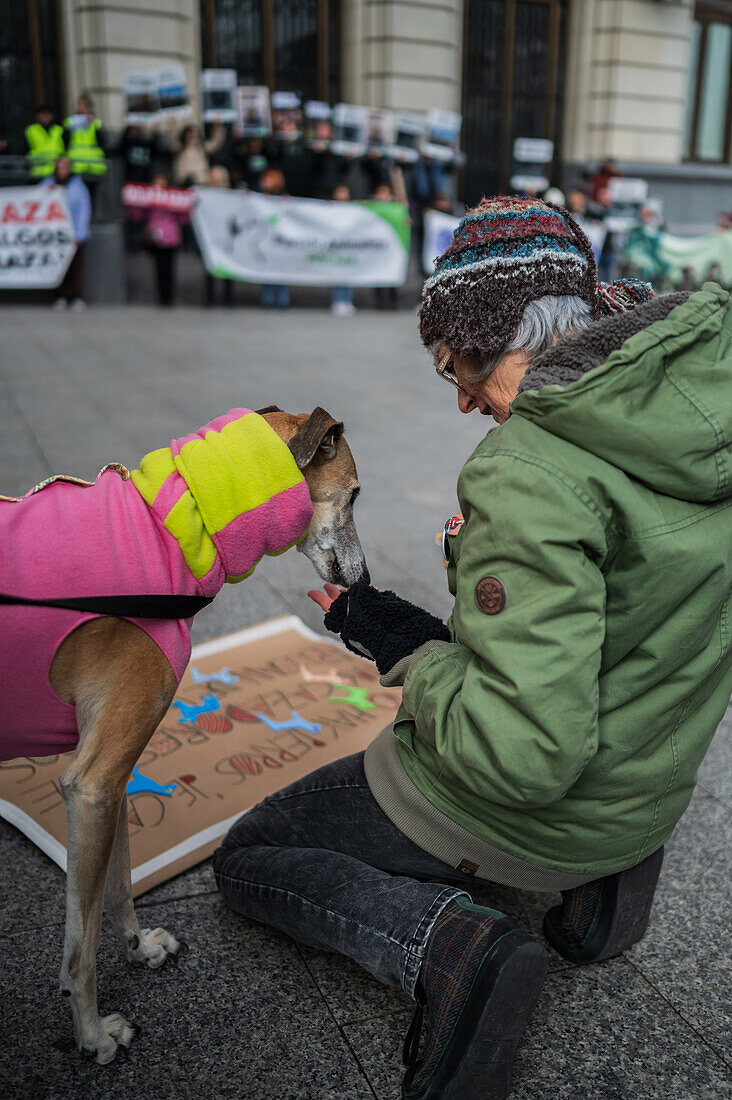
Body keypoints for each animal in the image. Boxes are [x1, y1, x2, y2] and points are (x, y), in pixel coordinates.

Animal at [0, 407, 365, 1064]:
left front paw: (139, 950)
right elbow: (79, 946)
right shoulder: (90, 785)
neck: (166, 531)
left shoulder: (113, 777)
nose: (365, 579)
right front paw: (93, 1035)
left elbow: (118, 885)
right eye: (354, 495)